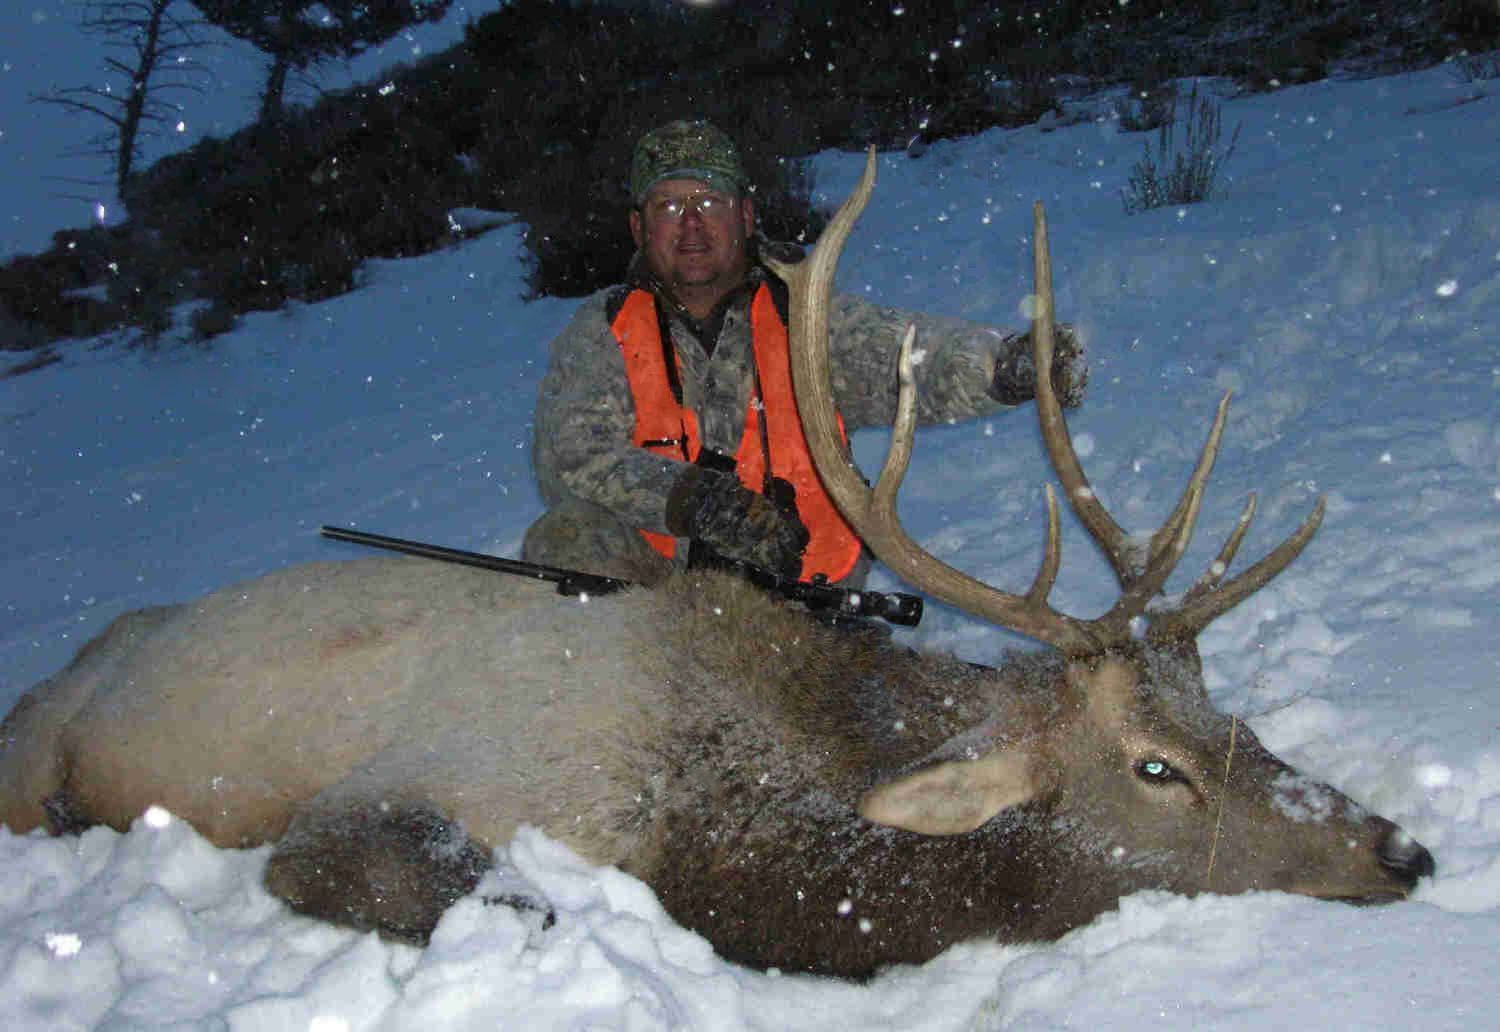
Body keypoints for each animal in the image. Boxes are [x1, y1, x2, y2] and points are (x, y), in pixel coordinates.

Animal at [0, 150, 1433, 980]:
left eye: (1227, 713)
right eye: (1155, 769)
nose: (1404, 851)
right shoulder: (404, 796)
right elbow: (497, 900)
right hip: (36, 747)